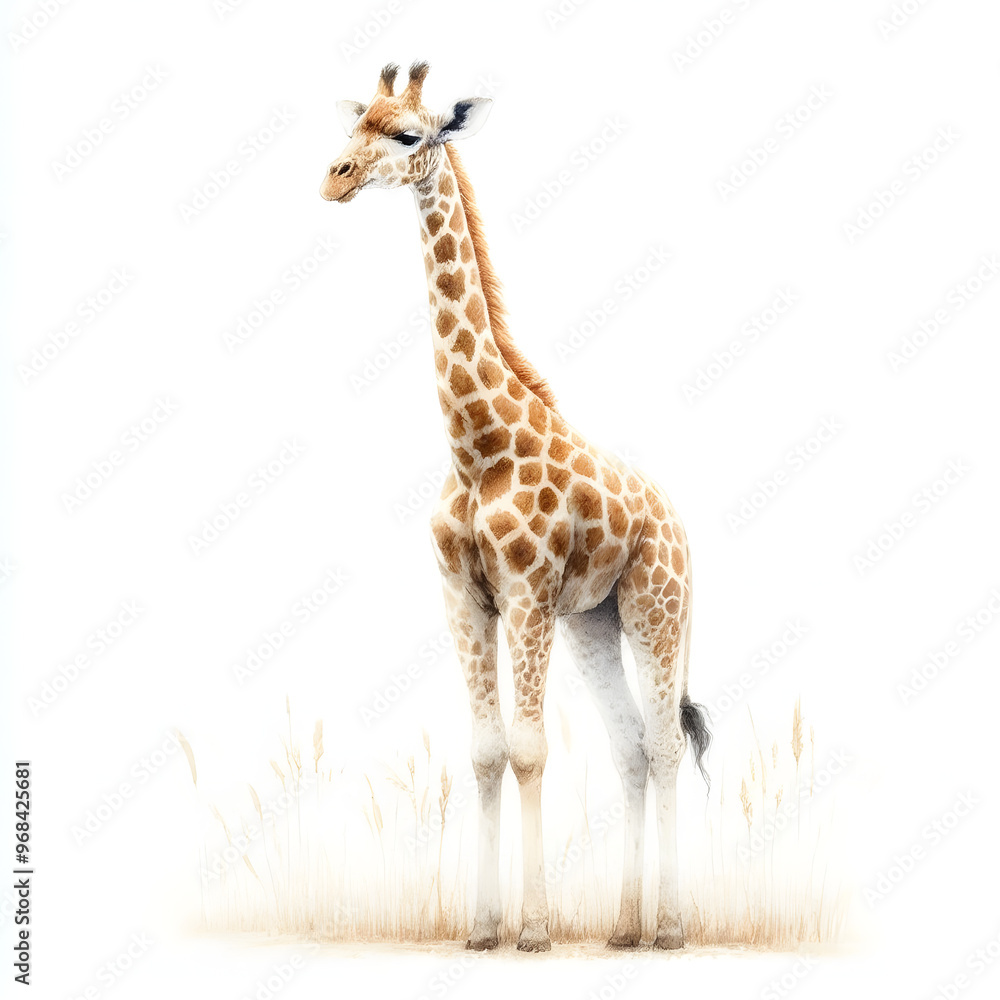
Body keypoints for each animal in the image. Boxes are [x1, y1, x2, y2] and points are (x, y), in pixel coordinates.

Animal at [320, 62, 710, 952]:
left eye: (407, 135)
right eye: (356, 126)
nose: (335, 178)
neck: (478, 444)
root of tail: (677, 524)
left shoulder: (527, 593)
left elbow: (529, 751)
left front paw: (533, 929)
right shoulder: (465, 597)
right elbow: (486, 752)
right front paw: (481, 926)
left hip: (656, 609)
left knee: (666, 744)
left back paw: (670, 928)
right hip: (595, 622)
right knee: (630, 746)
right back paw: (626, 929)